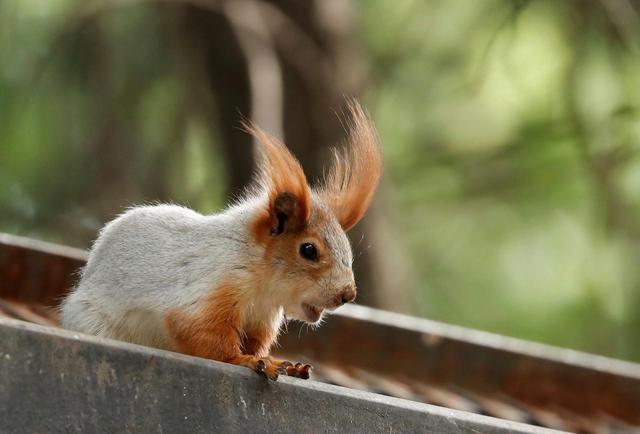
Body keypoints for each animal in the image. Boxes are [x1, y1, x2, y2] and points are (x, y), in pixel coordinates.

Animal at [61, 101, 380, 380]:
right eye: (309, 250)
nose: (347, 295)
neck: (262, 282)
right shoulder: (211, 290)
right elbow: (207, 338)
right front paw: (247, 360)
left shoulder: (262, 318)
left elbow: (253, 341)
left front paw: (283, 363)